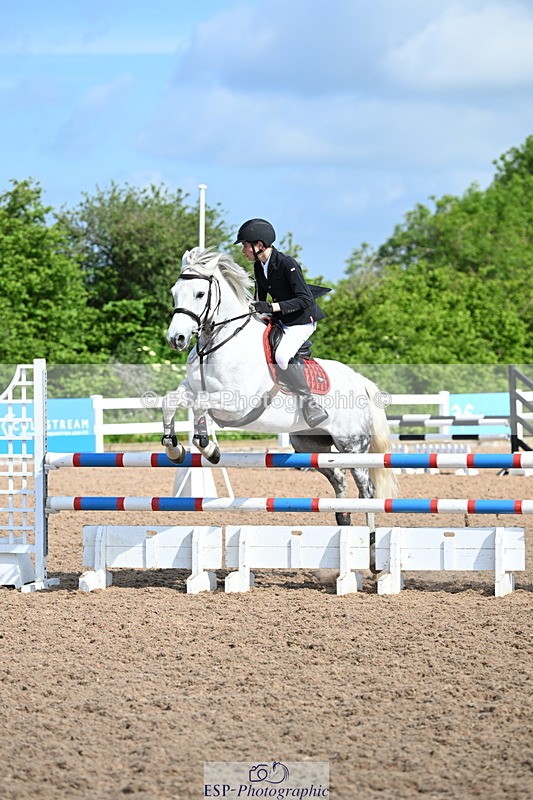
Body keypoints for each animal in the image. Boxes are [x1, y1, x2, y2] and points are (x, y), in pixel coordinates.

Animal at [162, 247, 398, 527]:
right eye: (174, 291)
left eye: (199, 294)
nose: (176, 339)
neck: (218, 342)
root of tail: (360, 381)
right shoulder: (192, 388)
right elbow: (169, 401)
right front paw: (174, 448)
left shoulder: (236, 402)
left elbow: (200, 407)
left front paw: (209, 449)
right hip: (311, 446)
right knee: (338, 477)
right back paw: (343, 519)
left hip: (352, 445)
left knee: (367, 490)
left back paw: (367, 536)